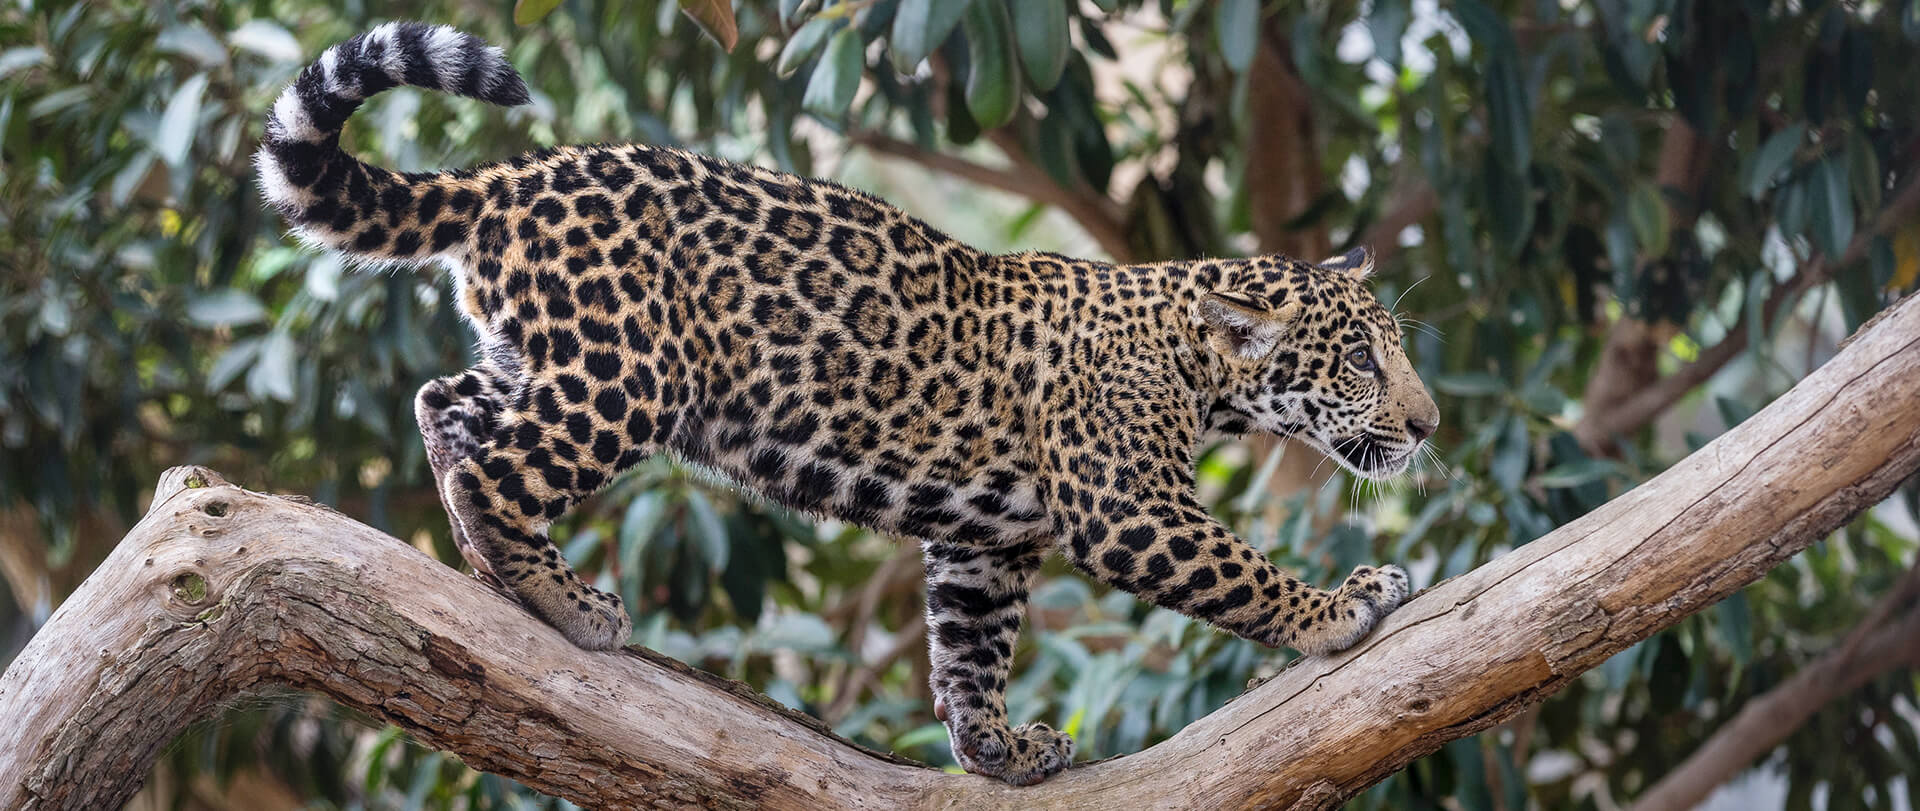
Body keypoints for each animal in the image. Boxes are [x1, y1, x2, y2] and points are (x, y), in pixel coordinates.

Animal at [255, 23, 1441, 786]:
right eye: (1361, 364)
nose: (1428, 424)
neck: (1202, 370)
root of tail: (513, 177)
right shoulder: (1128, 506)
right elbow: (1238, 570)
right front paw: (1339, 608)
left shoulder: (983, 543)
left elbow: (969, 649)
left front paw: (998, 752)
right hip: (624, 377)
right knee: (497, 464)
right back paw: (559, 595)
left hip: (544, 356)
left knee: (445, 399)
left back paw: (486, 567)